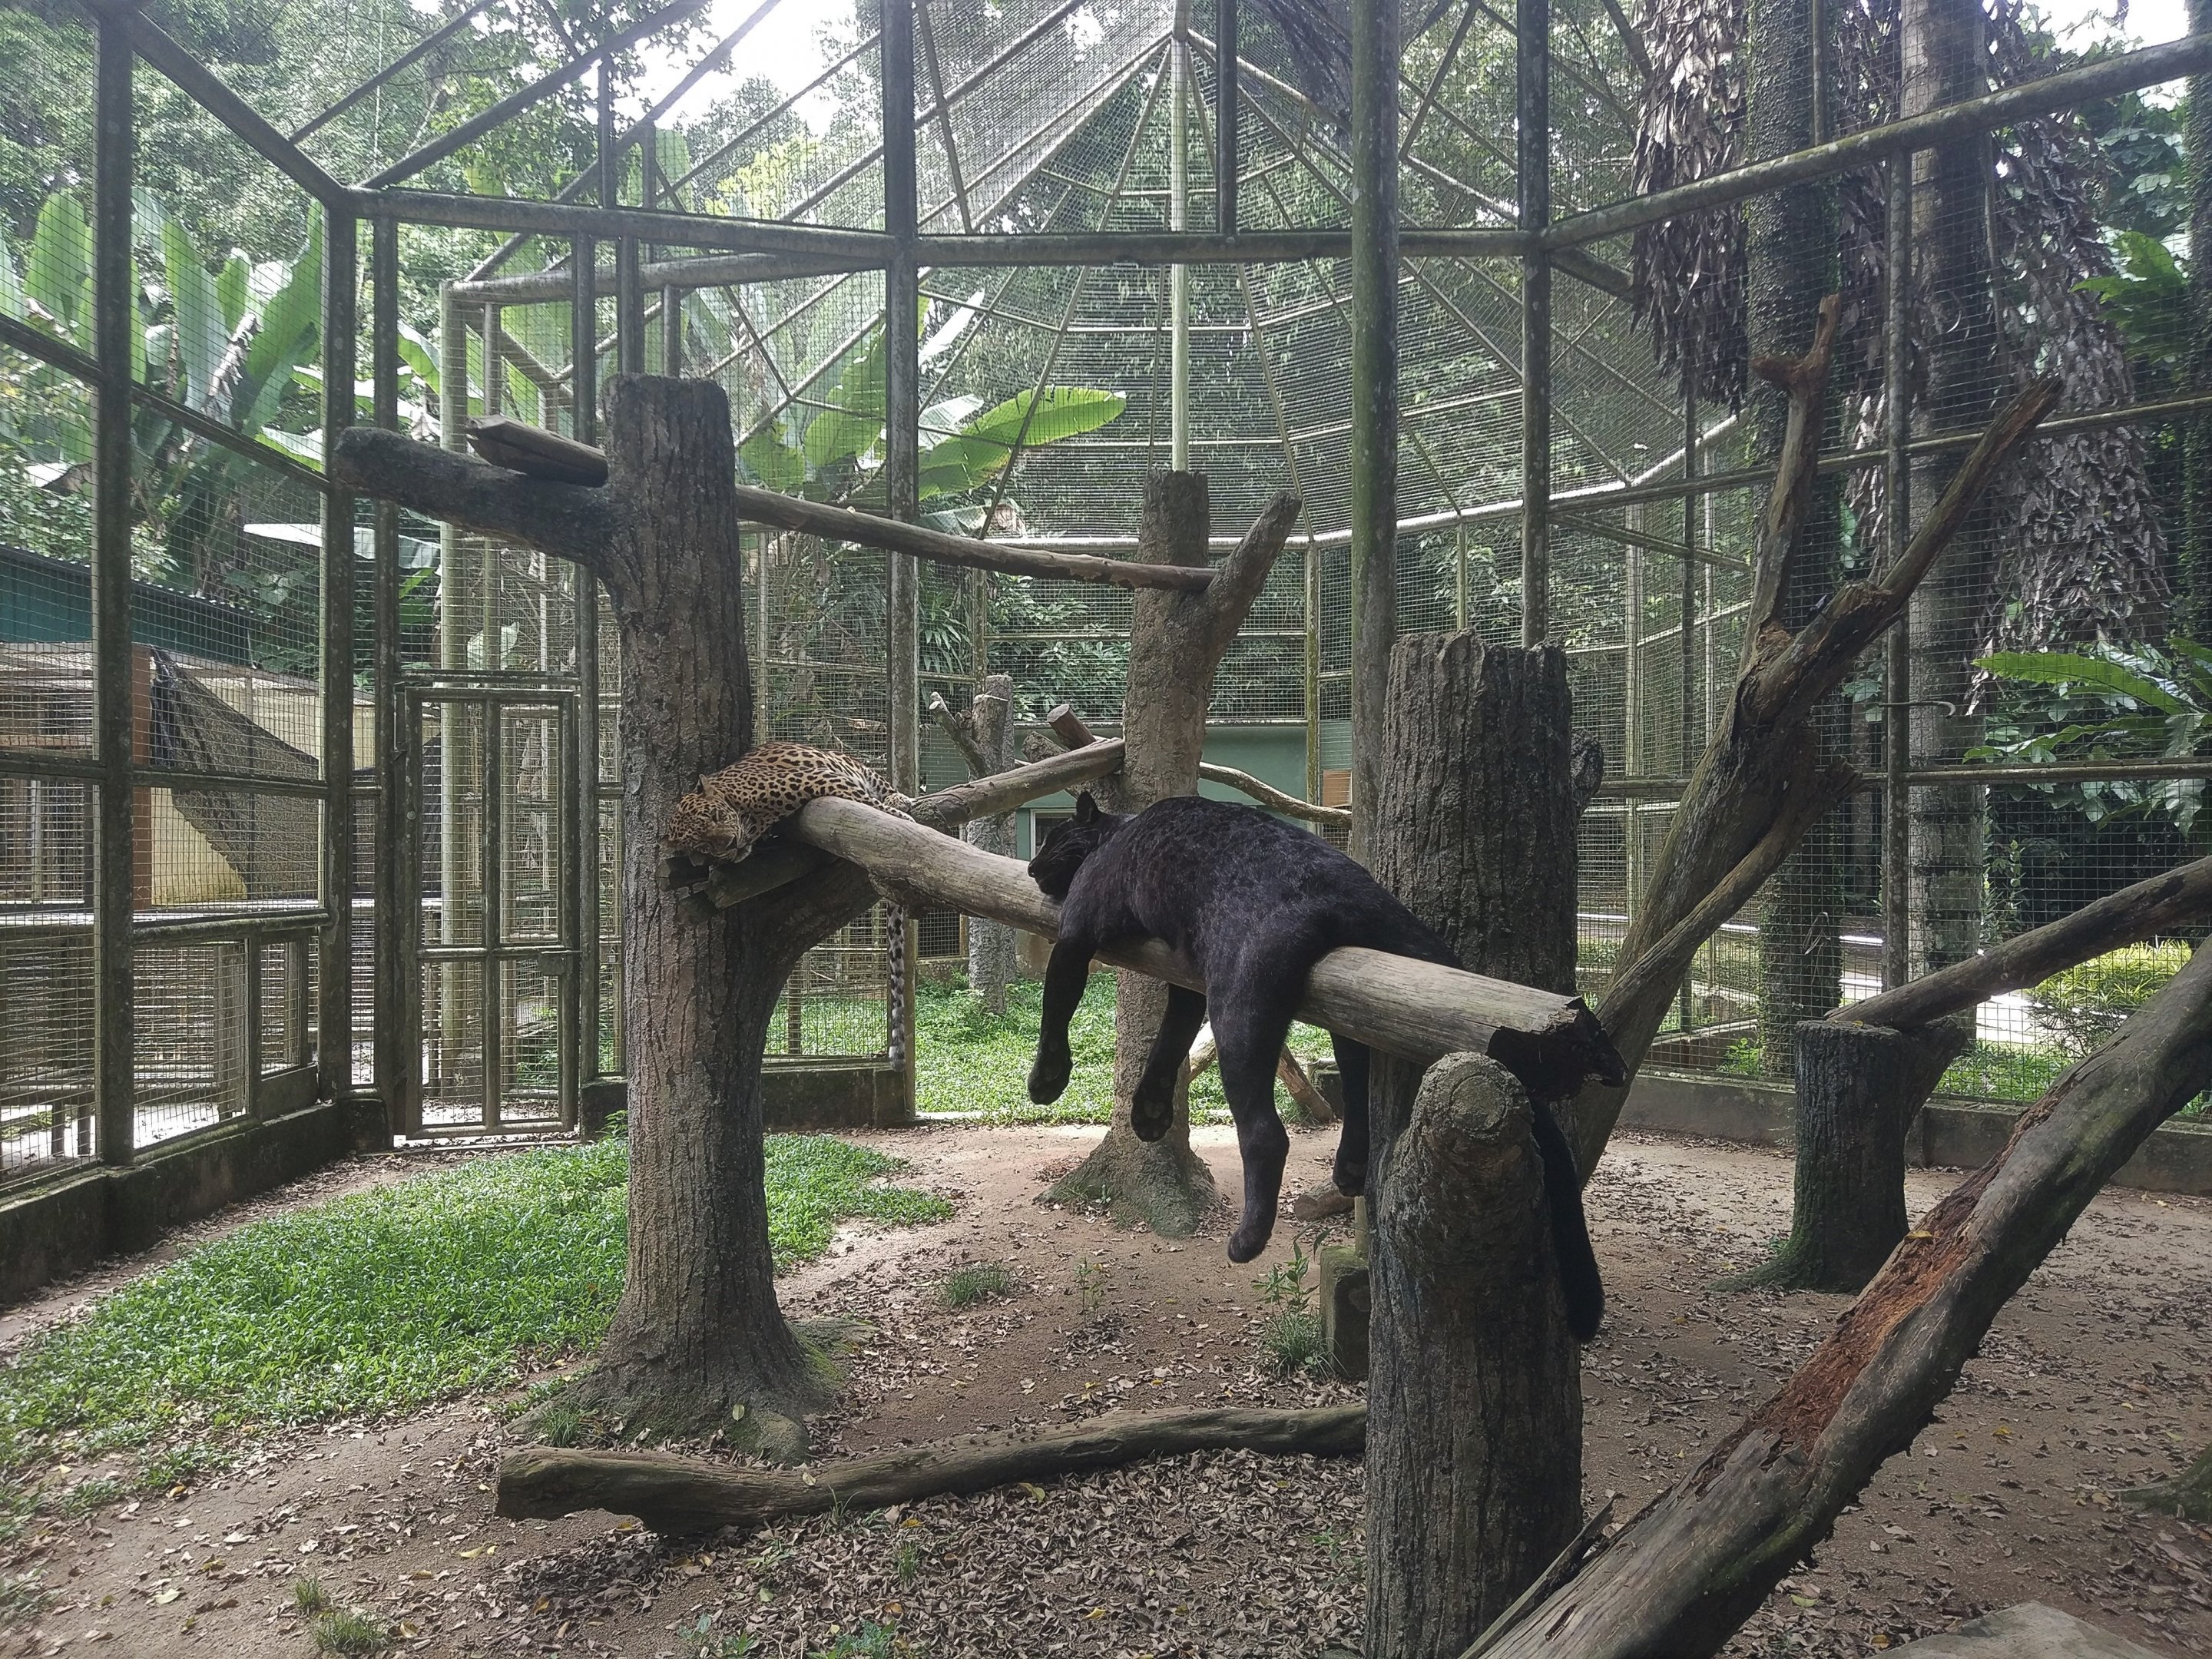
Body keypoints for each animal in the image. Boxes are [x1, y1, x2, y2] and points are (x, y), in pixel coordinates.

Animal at [664, 740, 917, 1065]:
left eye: (715, 818)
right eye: (702, 846)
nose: (730, 845)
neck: (751, 816)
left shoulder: (819, 778)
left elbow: (866, 801)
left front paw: (900, 816)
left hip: (853, 764)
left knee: (880, 785)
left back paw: (900, 798)